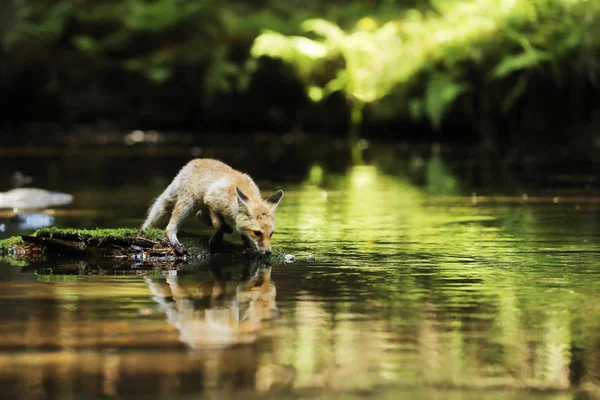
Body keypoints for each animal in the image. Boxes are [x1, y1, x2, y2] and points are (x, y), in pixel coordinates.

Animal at [141, 158, 284, 255]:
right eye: (257, 233)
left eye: (271, 234)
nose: (268, 252)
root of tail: (191, 163)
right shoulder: (211, 200)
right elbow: (218, 225)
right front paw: (216, 240)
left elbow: (237, 230)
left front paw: (247, 242)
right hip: (188, 204)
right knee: (170, 225)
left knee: (199, 215)